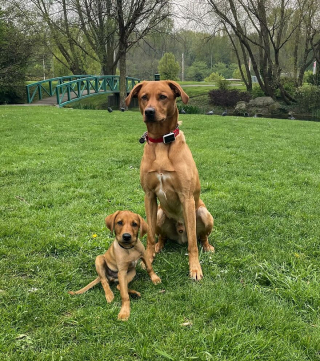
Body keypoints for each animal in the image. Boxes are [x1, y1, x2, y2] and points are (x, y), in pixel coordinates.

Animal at [126, 80, 214, 280]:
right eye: (144, 97)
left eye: (163, 96)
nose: (149, 112)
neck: (160, 141)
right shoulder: (149, 196)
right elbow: (150, 235)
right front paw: (148, 257)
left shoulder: (186, 196)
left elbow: (193, 243)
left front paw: (195, 268)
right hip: (159, 214)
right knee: (161, 236)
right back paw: (159, 246)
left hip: (203, 213)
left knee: (200, 237)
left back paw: (207, 246)